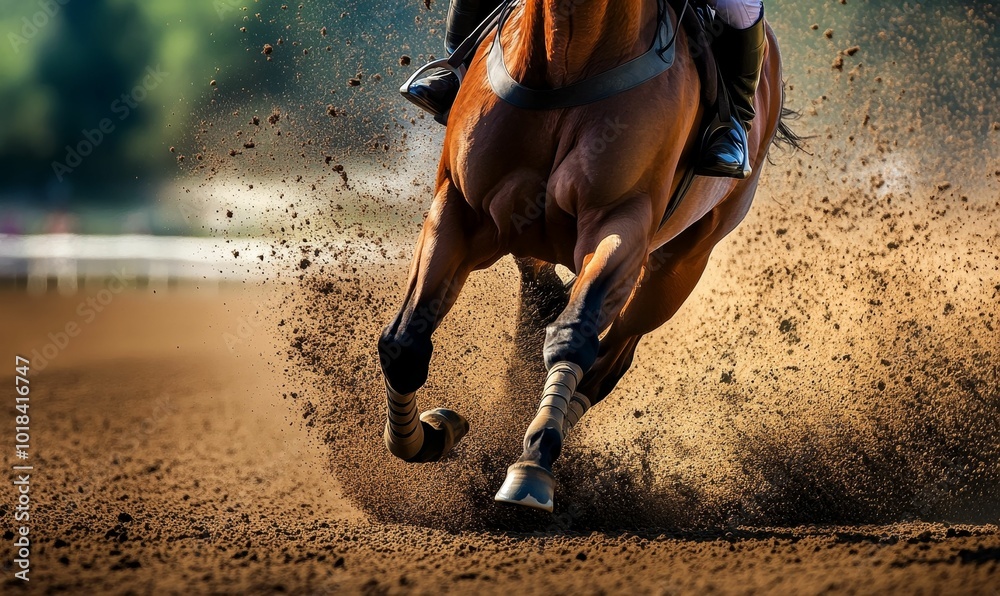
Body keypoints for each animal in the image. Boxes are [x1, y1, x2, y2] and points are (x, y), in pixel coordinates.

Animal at [378, 0, 796, 512]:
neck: (566, 56)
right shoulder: (457, 209)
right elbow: (403, 343)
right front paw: (431, 434)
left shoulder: (621, 222)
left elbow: (573, 335)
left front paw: (532, 465)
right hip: (524, 238)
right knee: (541, 296)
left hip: (681, 264)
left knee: (605, 364)